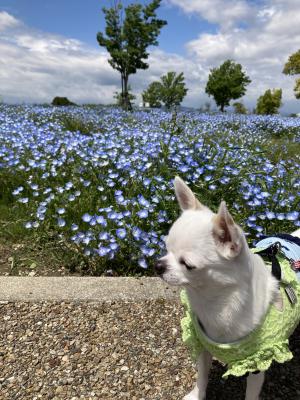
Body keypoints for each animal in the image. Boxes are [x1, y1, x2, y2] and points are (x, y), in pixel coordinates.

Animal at [156, 177, 300, 400]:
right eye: (166, 249)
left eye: (188, 265)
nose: (158, 265)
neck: (214, 302)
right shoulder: (202, 346)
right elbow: (202, 375)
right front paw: (197, 394)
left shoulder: (257, 363)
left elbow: (251, 394)